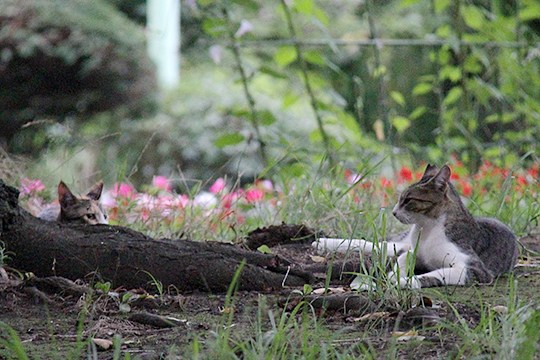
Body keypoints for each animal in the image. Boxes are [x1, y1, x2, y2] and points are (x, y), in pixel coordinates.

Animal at [312, 165, 520, 288]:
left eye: (408, 200)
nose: (394, 212)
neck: (426, 229)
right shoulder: (414, 251)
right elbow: (404, 258)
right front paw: (396, 274)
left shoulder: (471, 268)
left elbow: (434, 274)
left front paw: (405, 281)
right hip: (399, 242)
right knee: (376, 244)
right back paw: (322, 243)